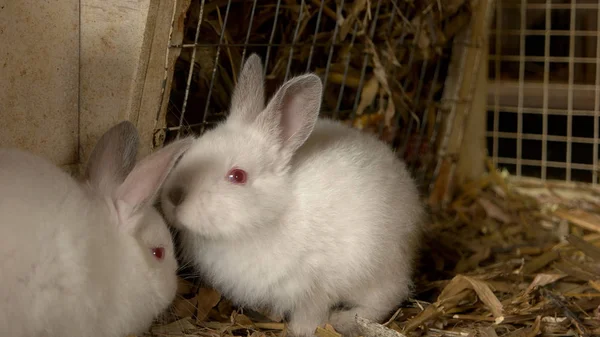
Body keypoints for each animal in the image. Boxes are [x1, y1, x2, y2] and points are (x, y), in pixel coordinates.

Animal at [158, 53, 422, 334]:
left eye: (237, 176)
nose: (174, 196)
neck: (273, 215)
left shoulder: (317, 282)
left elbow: (310, 313)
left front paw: (300, 331)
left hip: (378, 268)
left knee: (386, 297)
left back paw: (344, 320)